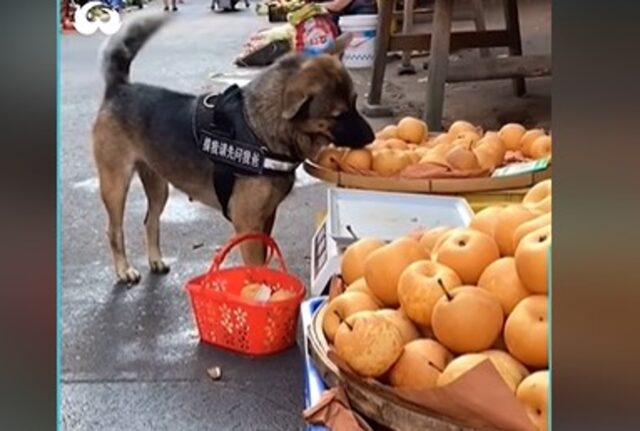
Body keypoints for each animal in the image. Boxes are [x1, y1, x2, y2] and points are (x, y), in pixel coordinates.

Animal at [94, 13, 376, 286]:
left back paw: (155, 260)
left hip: (157, 185)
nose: (372, 137)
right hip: (115, 185)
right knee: (114, 230)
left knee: (150, 221)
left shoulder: (266, 218)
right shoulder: (248, 224)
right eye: (338, 115)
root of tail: (120, 87)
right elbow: (255, 265)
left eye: (354, 103)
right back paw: (123, 270)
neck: (259, 129)